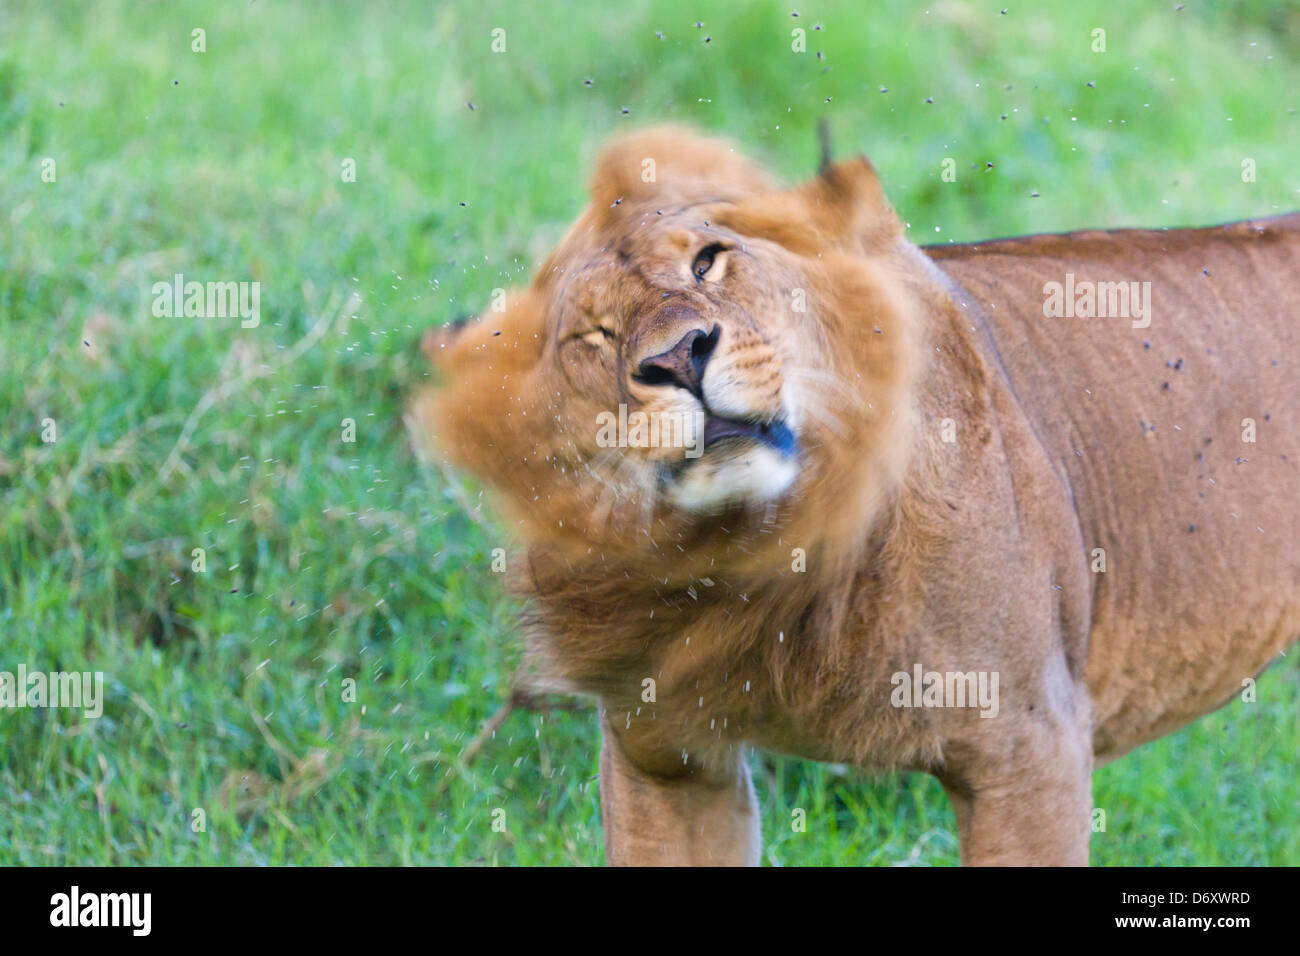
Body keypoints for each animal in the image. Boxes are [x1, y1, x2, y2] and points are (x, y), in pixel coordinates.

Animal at [413, 127, 1300, 868]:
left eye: (708, 260)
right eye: (590, 337)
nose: (679, 356)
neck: (767, 551)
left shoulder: (1030, 749)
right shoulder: (662, 756)